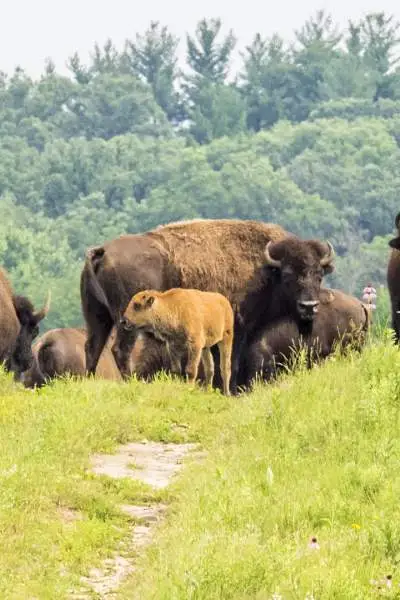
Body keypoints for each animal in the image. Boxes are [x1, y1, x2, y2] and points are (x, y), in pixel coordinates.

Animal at [80, 218, 334, 392]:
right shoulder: (238, 329)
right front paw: (230, 390)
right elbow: (230, 362)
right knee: (120, 349)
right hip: (126, 320)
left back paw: (88, 382)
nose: (309, 306)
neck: (266, 268)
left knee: (92, 347)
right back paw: (131, 383)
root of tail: (102, 251)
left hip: (98, 317)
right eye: (289, 274)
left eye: (319, 274)